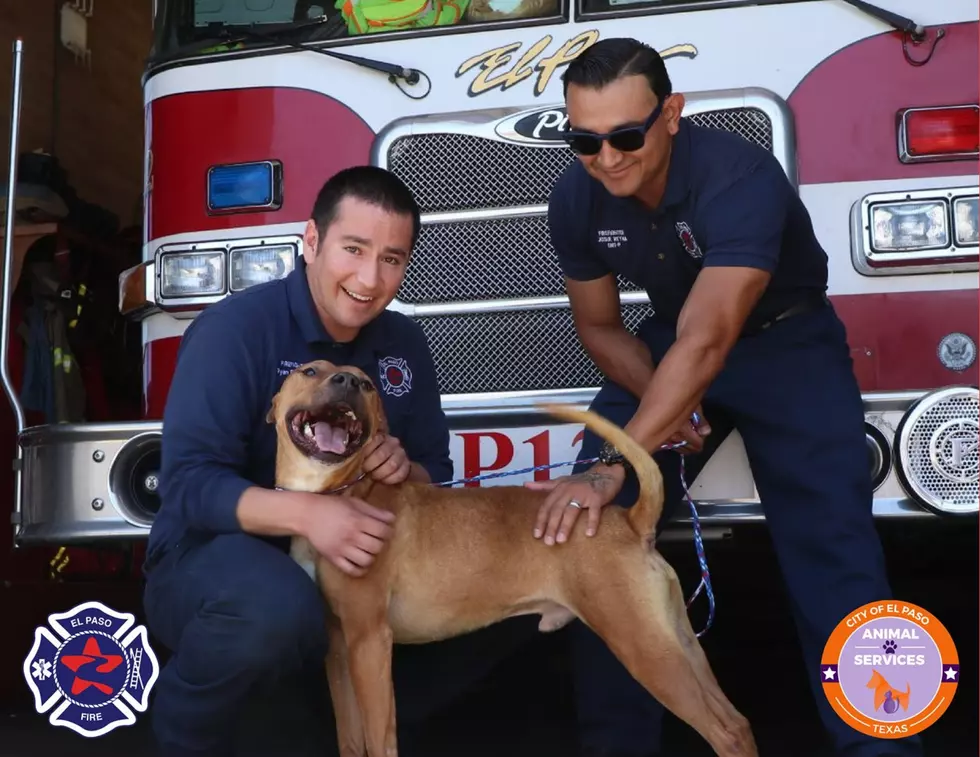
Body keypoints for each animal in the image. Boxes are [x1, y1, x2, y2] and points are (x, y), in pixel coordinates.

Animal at [266, 358, 756, 756]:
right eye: (309, 371)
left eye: (367, 384)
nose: (347, 381)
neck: (340, 493)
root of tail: (631, 520)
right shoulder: (339, 647)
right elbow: (351, 739)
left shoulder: (369, 642)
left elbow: (379, 740)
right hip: (675, 642)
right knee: (738, 724)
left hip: (644, 647)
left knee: (725, 733)